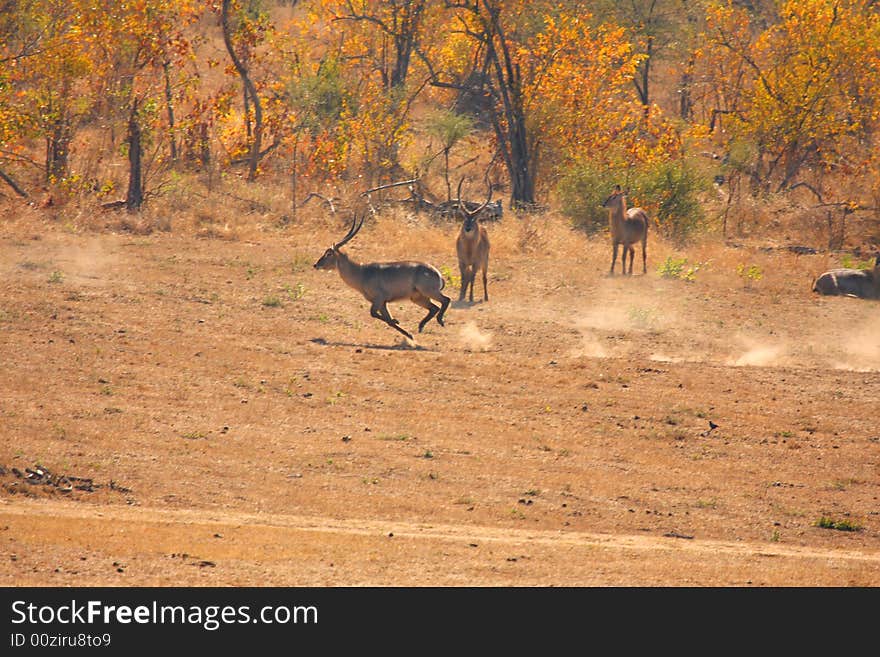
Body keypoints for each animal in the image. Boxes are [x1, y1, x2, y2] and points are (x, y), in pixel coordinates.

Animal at [312, 215, 450, 340]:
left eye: (329, 253)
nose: (316, 265)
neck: (362, 272)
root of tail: (437, 273)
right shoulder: (382, 303)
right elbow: (386, 319)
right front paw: (407, 333)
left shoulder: (379, 299)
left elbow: (373, 314)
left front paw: (397, 321)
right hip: (418, 298)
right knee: (434, 308)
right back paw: (421, 326)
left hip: (429, 292)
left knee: (446, 300)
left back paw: (440, 321)